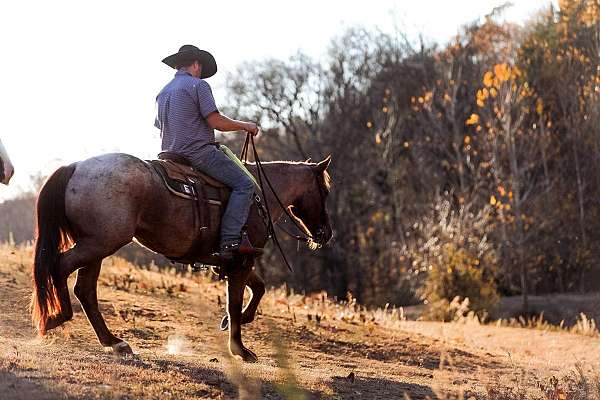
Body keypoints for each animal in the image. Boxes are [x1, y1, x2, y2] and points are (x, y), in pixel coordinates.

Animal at [31, 152, 332, 360]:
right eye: (325, 191)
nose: (326, 233)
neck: (259, 196)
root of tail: (76, 166)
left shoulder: (235, 262)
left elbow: (258, 288)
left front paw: (234, 324)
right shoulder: (241, 262)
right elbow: (235, 302)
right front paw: (240, 349)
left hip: (97, 247)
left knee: (85, 289)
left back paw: (114, 342)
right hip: (99, 245)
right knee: (61, 267)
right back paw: (58, 317)